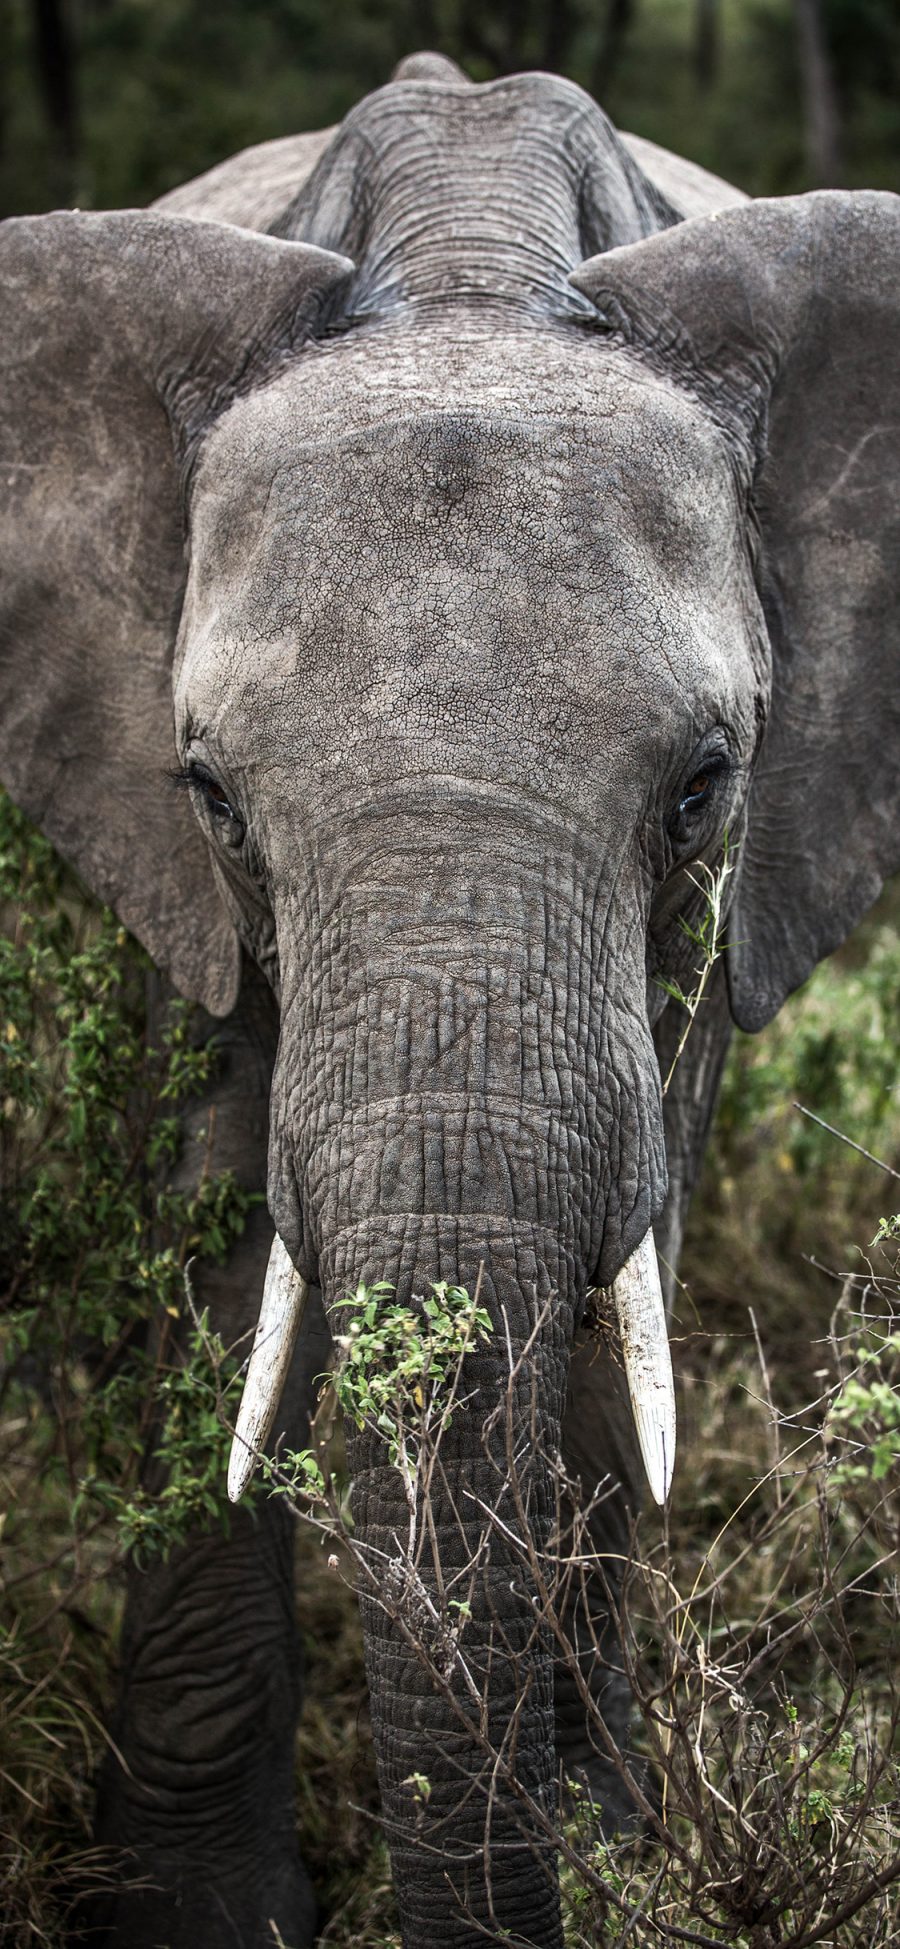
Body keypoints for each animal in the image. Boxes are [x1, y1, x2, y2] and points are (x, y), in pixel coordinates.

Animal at [1, 38, 900, 1949]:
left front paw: (613, 1860)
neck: (470, 268)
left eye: (703, 783)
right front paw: (203, 1922)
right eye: (210, 795)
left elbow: (622, 1263)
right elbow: (211, 1243)